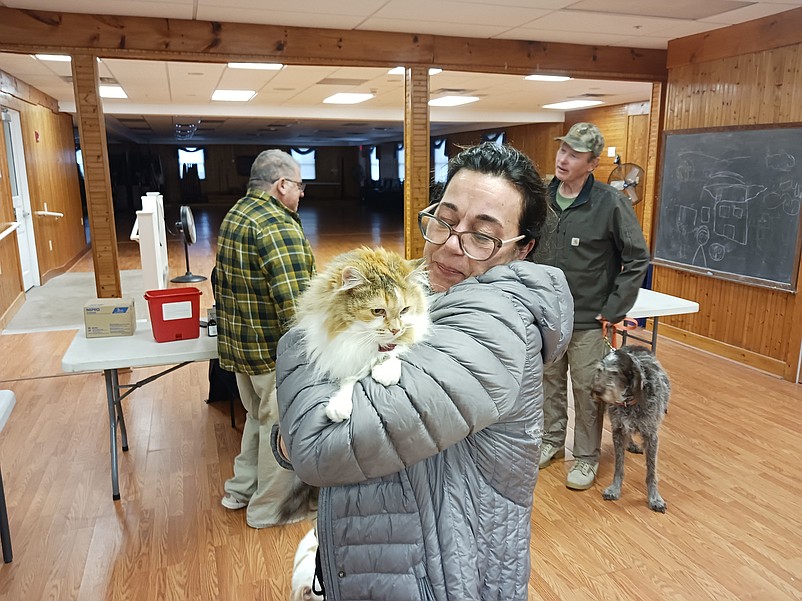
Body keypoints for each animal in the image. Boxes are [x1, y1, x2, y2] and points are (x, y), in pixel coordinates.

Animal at [292, 246, 428, 420]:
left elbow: (395, 350)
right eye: (378, 311)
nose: (396, 329)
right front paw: (339, 404)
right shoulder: (343, 356)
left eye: (404, 310)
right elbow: (349, 378)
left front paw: (386, 371)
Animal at [588, 342, 668, 510]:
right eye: (600, 370)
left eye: (614, 372)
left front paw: (654, 498)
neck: (630, 401)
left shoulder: (651, 436)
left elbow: (651, 472)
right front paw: (615, 488)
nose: (596, 390)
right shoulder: (617, 430)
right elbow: (619, 466)